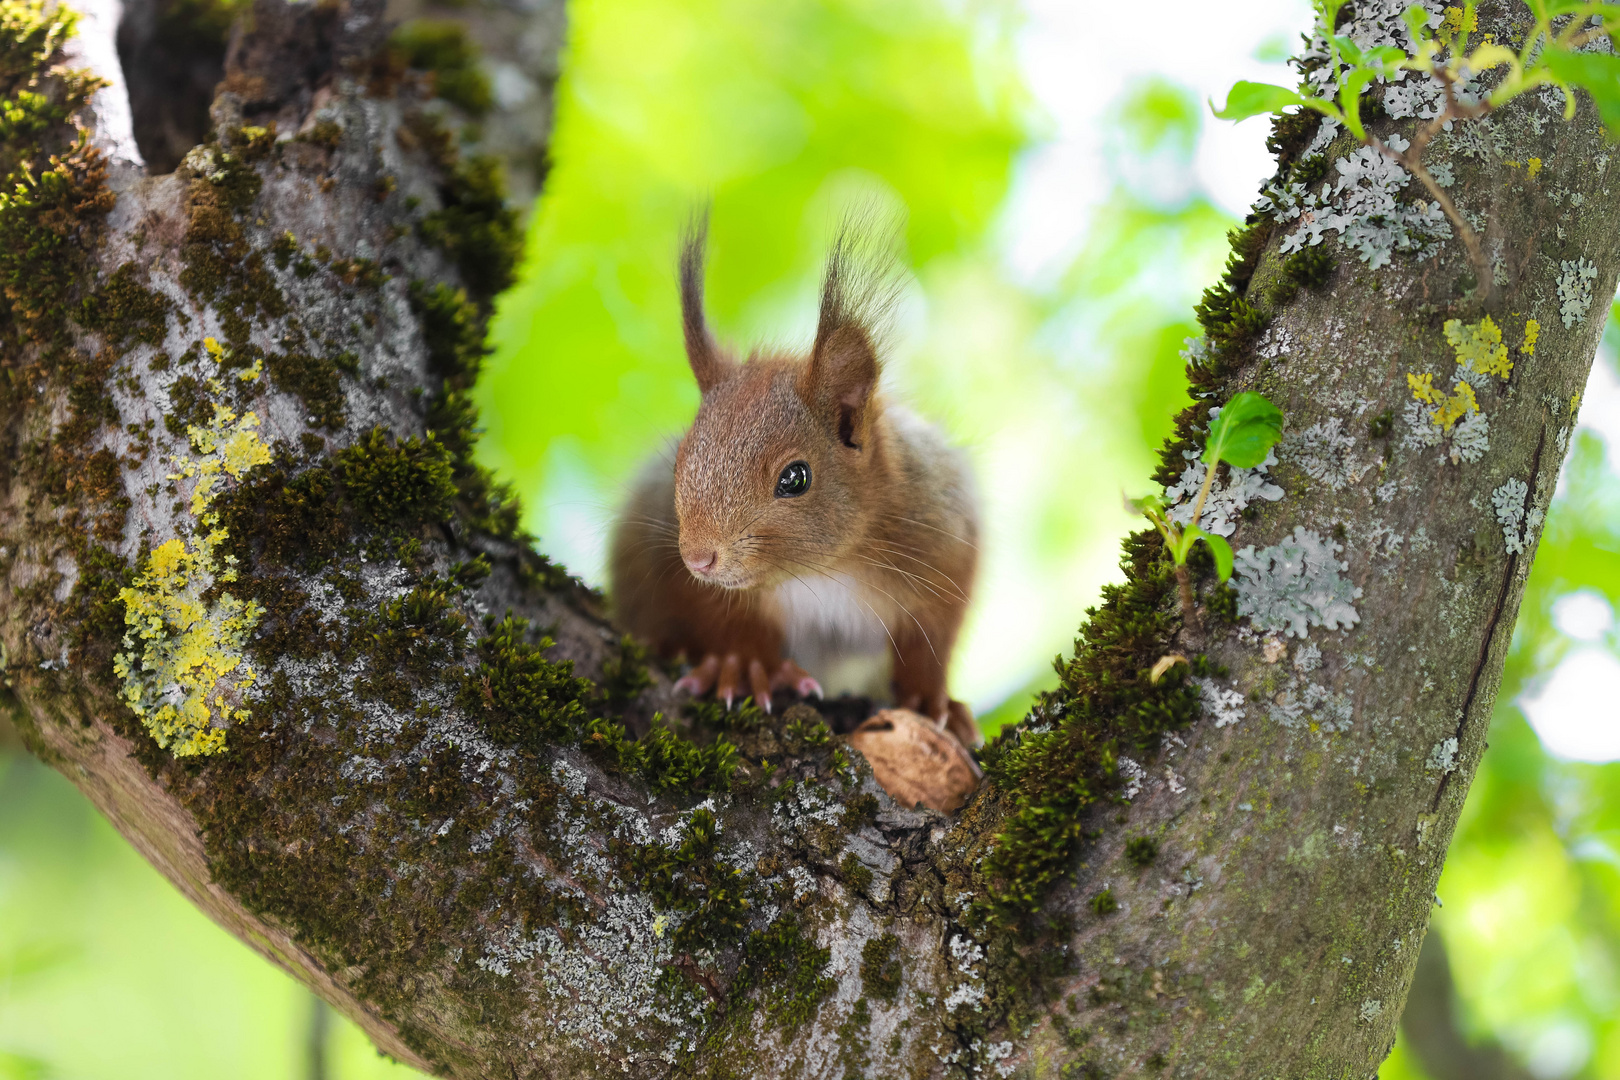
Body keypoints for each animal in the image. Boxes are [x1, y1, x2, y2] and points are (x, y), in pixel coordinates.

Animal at [609, 223, 978, 748]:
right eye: (679, 460)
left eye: (795, 477)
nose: (698, 558)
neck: (828, 567)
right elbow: (727, 617)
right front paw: (748, 667)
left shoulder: (945, 533)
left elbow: (933, 635)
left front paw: (932, 700)